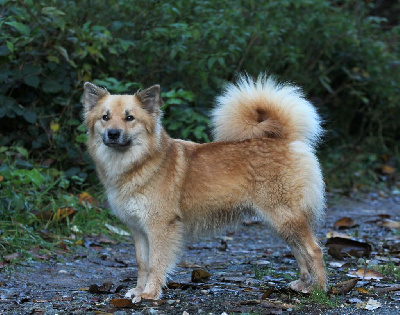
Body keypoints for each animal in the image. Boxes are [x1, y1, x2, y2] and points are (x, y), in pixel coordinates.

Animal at [83, 74, 326, 304]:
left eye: (129, 118)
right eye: (105, 117)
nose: (113, 133)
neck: (141, 163)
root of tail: (285, 139)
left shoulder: (160, 226)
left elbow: (155, 263)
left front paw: (150, 293)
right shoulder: (138, 229)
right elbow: (142, 263)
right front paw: (138, 290)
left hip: (285, 215)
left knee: (313, 250)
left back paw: (319, 289)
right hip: (281, 221)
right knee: (298, 250)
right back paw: (303, 283)